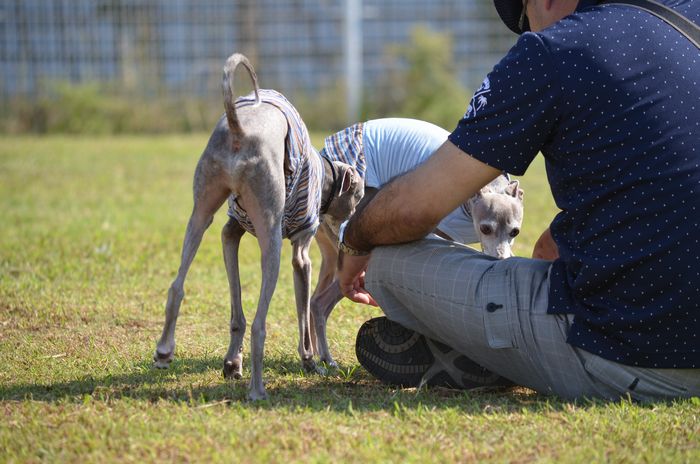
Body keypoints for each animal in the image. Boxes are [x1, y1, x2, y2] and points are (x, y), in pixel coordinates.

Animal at [152, 54, 360, 400]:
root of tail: (239, 129)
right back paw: (257, 389)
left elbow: (236, 308)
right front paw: (310, 362)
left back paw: (165, 351)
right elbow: (303, 315)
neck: (325, 174)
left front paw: (232, 363)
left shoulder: (230, 233)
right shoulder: (301, 255)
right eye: (358, 195)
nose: (352, 219)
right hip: (271, 239)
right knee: (260, 323)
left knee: (177, 285)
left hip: (201, 210)